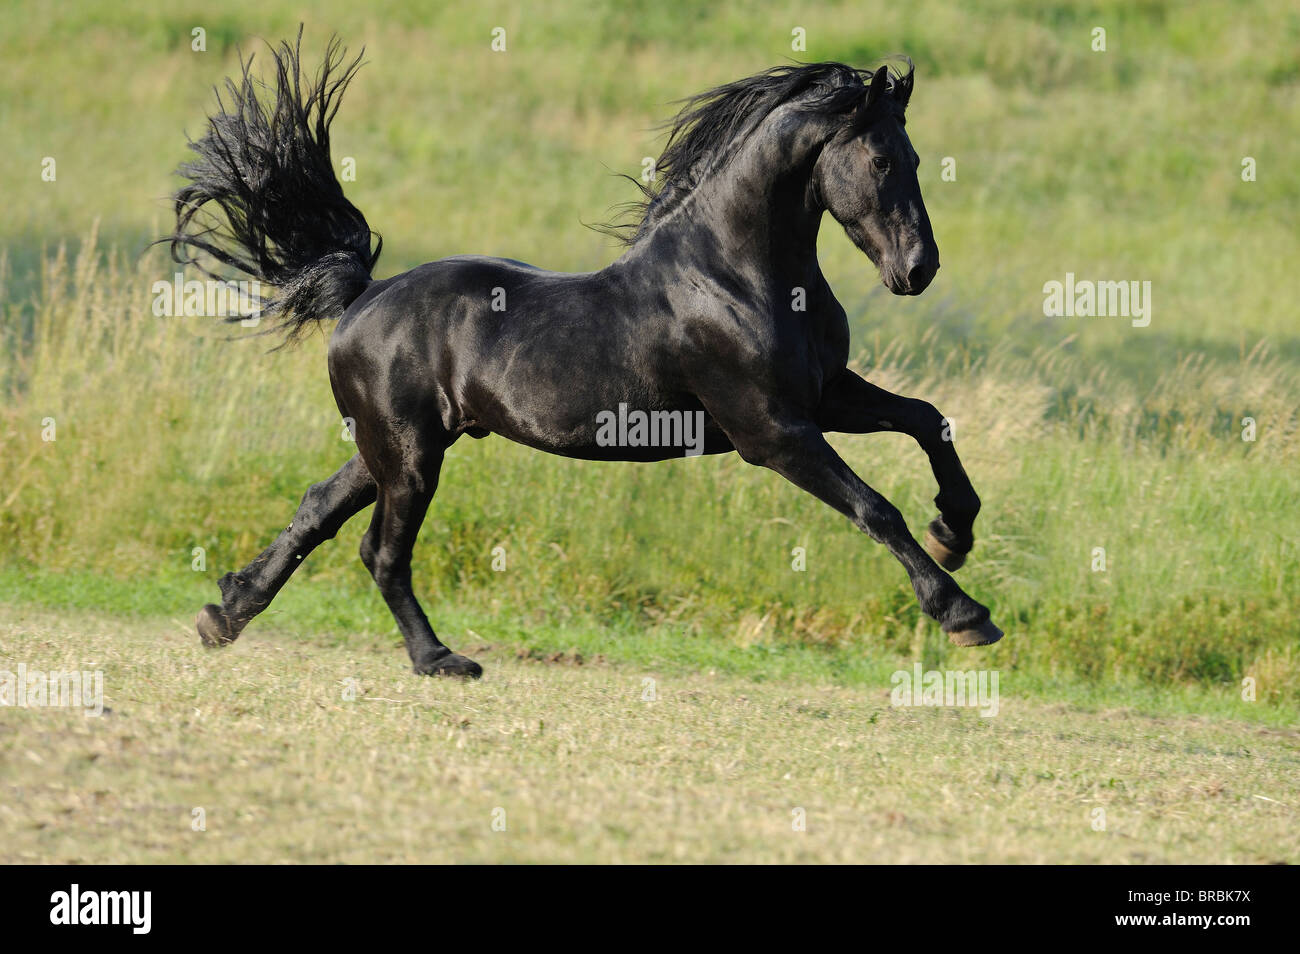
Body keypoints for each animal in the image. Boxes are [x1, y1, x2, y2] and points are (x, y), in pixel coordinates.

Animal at [165, 32, 1002, 678]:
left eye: (917, 157)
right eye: (884, 160)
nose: (918, 270)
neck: (738, 275)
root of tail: (362, 296)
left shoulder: (825, 395)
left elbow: (929, 419)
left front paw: (955, 534)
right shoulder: (770, 431)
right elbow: (875, 506)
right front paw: (964, 612)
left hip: (396, 444)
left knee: (319, 508)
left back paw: (225, 612)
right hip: (408, 453)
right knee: (382, 550)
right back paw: (441, 660)